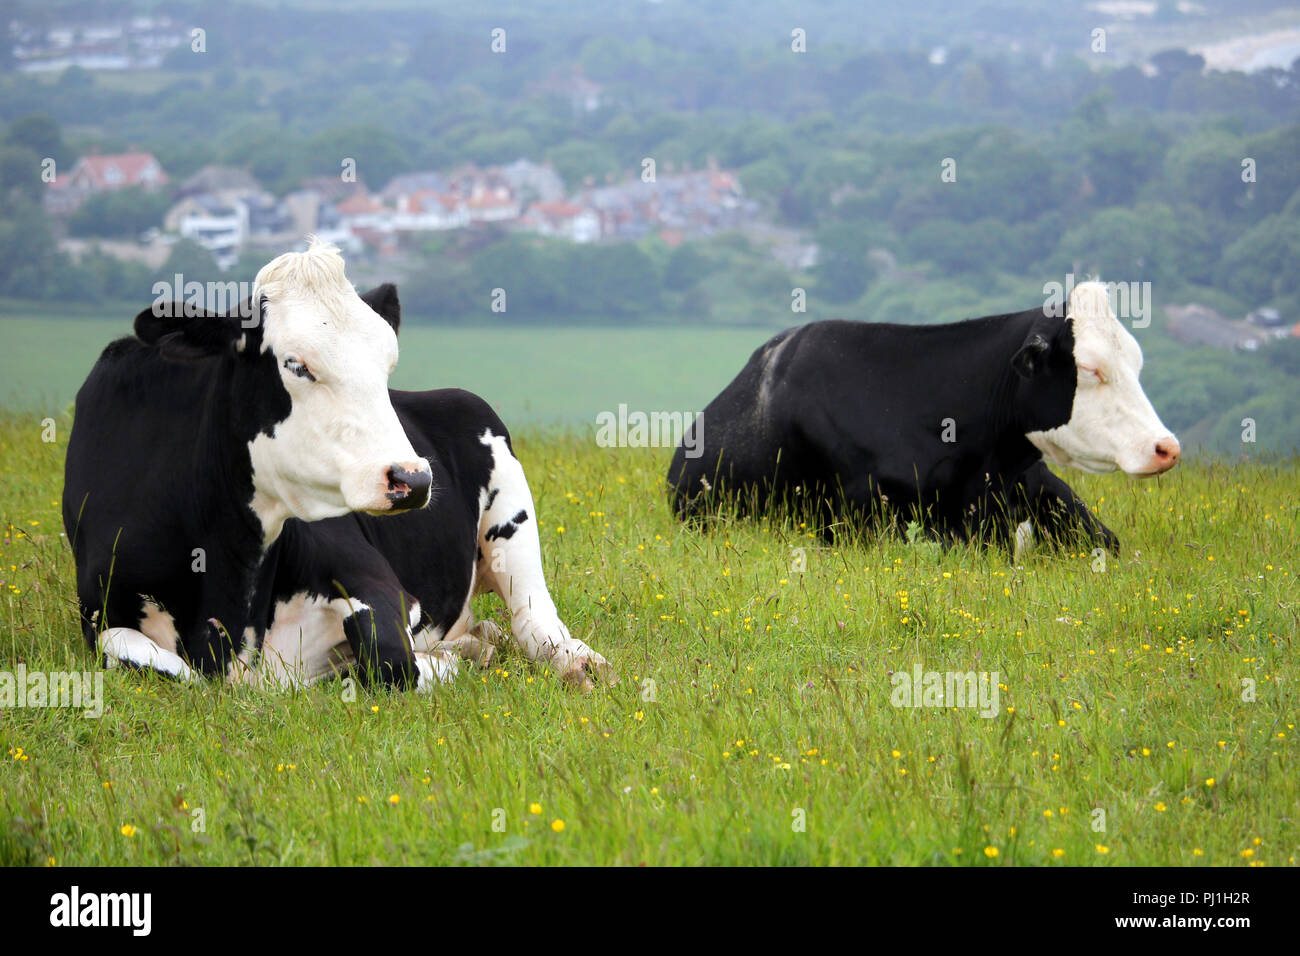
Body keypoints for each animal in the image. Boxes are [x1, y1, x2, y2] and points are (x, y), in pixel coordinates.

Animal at [59, 243, 608, 691]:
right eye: (297, 365)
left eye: (387, 364)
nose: (413, 479)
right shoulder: (98, 614)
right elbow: (145, 657)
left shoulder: (381, 584)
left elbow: (390, 659)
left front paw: (451, 661)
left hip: (510, 511)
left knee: (535, 620)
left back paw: (575, 662)